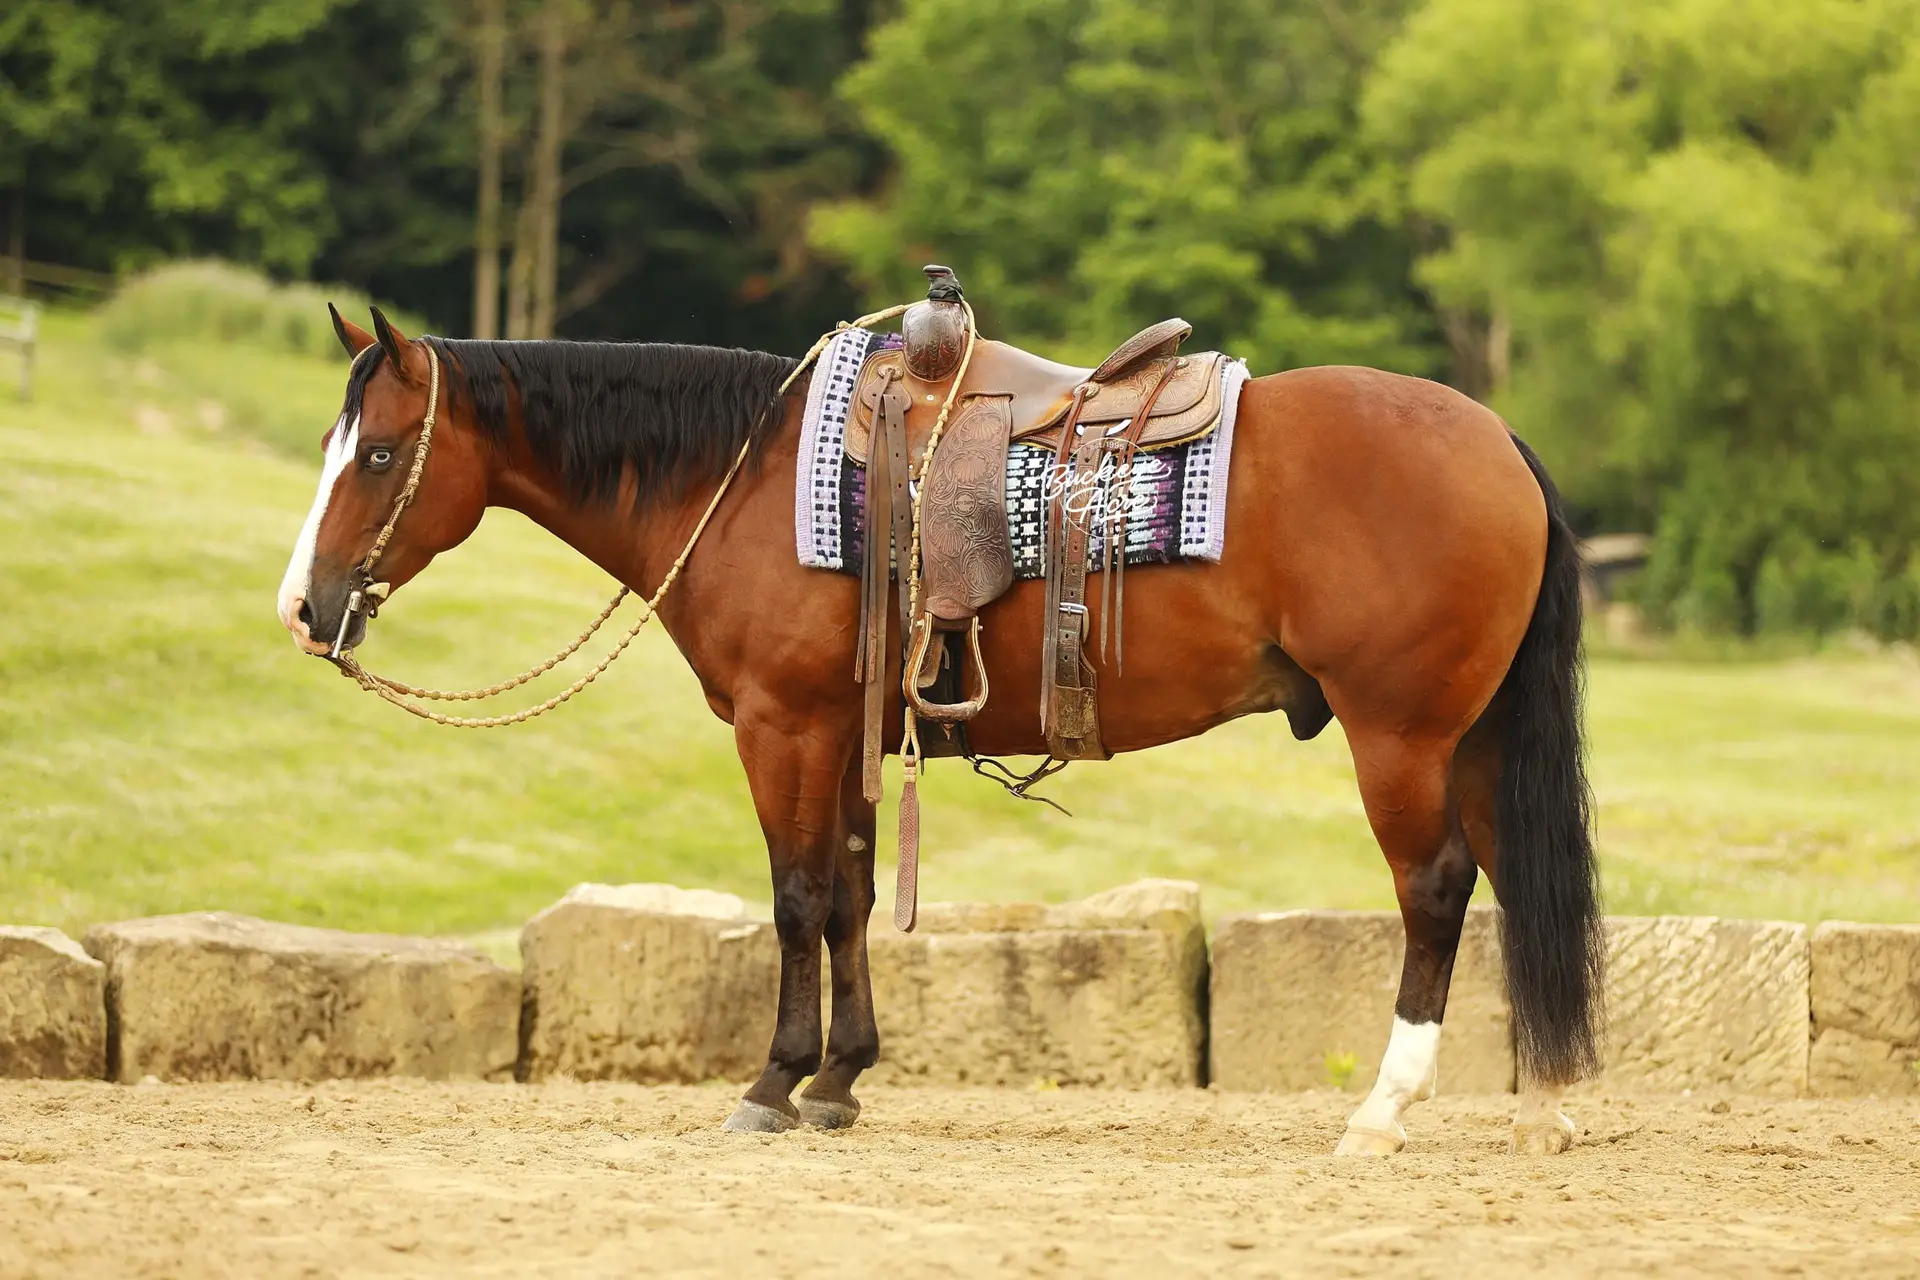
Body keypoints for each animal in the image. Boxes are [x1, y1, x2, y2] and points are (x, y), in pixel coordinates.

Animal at [276, 305, 1604, 1156]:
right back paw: (1544, 1101)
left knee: (1436, 889)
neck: (746, 478)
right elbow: (854, 895)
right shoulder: (850, 732)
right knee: (1515, 883)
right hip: (1474, 738)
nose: (303, 607)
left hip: (1401, 735)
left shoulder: (784, 725)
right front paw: (840, 1077)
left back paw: (1383, 1108)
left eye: (380, 451)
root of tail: (1500, 440)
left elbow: (797, 896)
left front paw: (773, 1080)